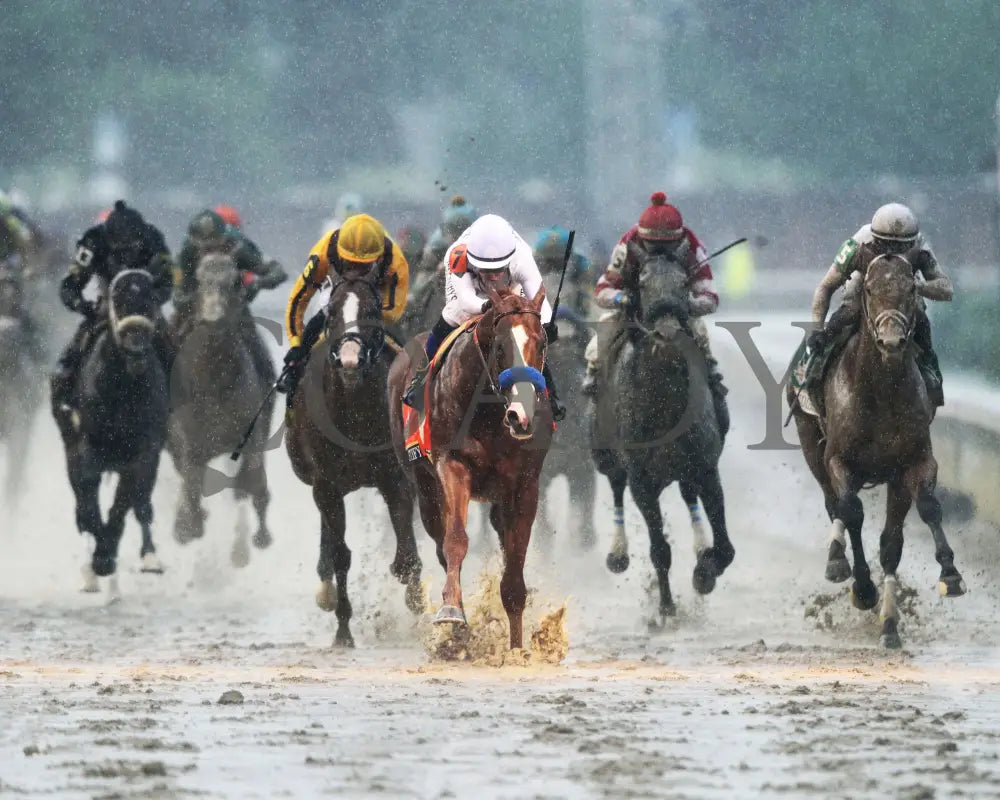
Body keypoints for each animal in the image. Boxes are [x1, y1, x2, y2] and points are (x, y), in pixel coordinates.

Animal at [55, 272, 170, 596]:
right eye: (117, 299)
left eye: (150, 298)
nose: (136, 345)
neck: (122, 389)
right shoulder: (86, 450)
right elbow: (88, 502)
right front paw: (97, 564)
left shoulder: (142, 454)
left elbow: (123, 504)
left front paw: (106, 557)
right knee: (82, 505)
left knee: (142, 505)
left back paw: (148, 557)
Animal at [168, 253, 276, 564]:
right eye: (200, 281)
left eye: (235, 281)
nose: (213, 317)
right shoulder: (188, 441)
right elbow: (191, 484)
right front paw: (187, 527)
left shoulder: (253, 434)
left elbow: (255, 480)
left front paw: (260, 537)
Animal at [286, 268, 422, 644]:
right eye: (331, 312)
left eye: (373, 309)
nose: (350, 359)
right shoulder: (327, 483)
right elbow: (340, 554)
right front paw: (343, 629)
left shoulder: (395, 478)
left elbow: (407, 557)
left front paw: (417, 599)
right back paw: (326, 589)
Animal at [386, 288, 556, 648]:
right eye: (500, 346)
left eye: (542, 344)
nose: (522, 416)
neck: (490, 414)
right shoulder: (453, 464)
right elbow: (455, 540)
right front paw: (452, 611)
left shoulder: (526, 483)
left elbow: (514, 566)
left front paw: (517, 647)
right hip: (424, 486)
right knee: (440, 540)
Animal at [788, 256, 960, 648]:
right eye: (868, 288)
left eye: (911, 289)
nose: (893, 341)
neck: (881, 388)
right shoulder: (839, 460)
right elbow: (850, 512)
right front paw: (861, 585)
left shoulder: (913, 463)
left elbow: (915, 520)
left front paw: (948, 575)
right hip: (811, 446)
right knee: (837, 507)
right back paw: (843, 564)